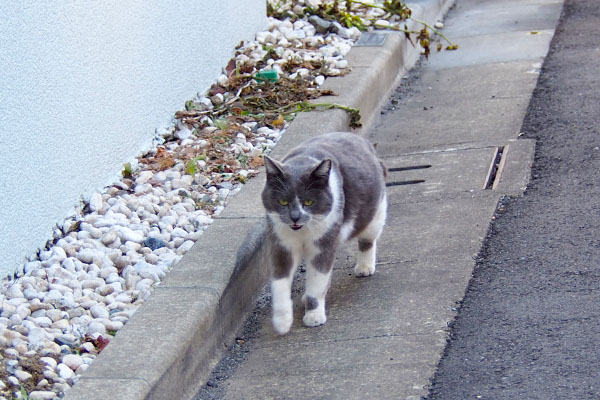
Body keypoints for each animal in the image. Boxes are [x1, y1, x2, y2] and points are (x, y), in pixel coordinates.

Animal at [264, 132, 390, 334]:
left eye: (309, 202)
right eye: (283, 202)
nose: (295, 217)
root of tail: (361, 140)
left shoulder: (323, 244)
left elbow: (318, 279)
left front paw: (314, 315)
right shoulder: (280, 243)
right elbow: (280, 282)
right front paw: (282, 321)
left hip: (375, 214)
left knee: (367, 240)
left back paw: (364, 267)